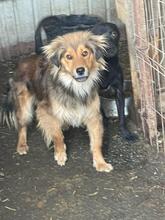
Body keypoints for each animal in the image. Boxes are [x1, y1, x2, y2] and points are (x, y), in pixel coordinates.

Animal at [0, 30, 113, 172]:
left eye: (85, 53)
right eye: (69, 57)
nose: (80, 70)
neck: (74, 88)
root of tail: (22, 61)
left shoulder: (93, 115)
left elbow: (96, 142)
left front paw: (100, 163)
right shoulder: (45, 111)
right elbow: (57, 135)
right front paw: (60, 154)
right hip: (24, 107)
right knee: (22, 125)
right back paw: (21, 145)